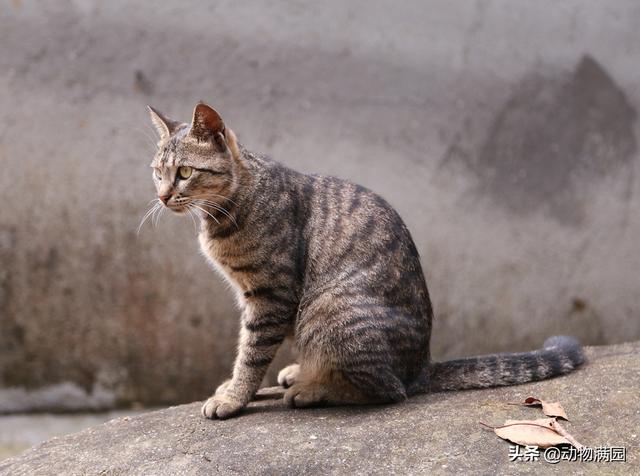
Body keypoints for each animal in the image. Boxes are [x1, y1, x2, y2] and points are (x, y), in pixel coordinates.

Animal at [146, 102, 584, 418]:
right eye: (156, 173)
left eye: (184, 172)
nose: (163, 196)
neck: (229, 205)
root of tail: (422, 366)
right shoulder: (256, 297)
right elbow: (247, 346)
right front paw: (236, 386)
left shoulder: (271, 296)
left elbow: (252, 353)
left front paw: (235, 396)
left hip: (329, 309)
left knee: (389, 390)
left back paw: (314, 389)